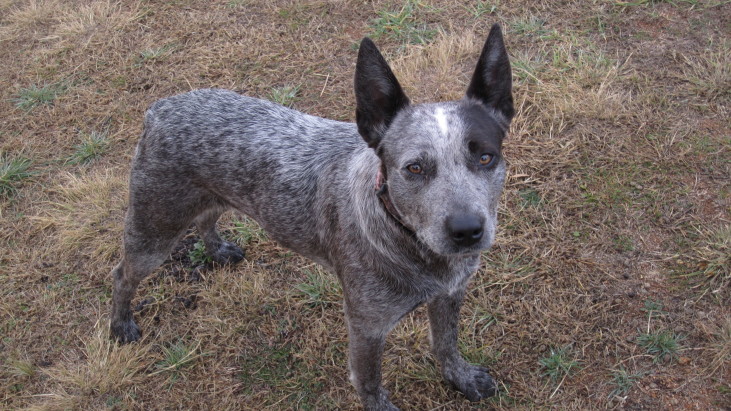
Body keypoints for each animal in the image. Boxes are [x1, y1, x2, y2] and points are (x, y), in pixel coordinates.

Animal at [111, 24, 516, 410]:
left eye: (485, 157)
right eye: (414, 168)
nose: (467, 230)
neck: (410, 240)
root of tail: (160, 107)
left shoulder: (450, 294)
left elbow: (446, 344)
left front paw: (461, 378)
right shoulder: (367, 328)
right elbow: (370, 385)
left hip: (208, 198)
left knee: (205, 219)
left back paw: (217, 250)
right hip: (154, 228)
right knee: (122, 274)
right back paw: (121, 325)